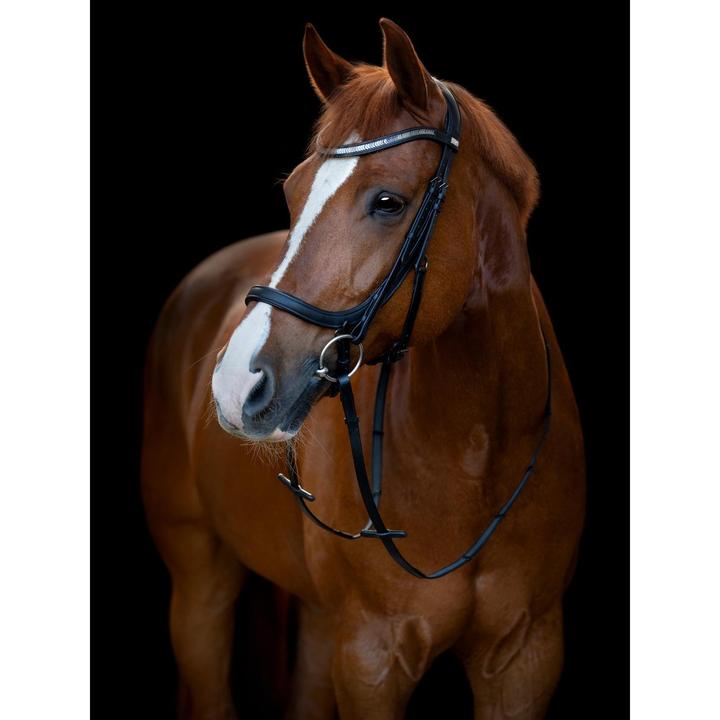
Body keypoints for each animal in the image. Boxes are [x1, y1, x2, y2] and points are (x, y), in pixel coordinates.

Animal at [141, 18, 585, 720]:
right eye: (293, 191)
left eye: (387, 201)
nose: (237, 384)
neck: (476, 456)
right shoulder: (372, 660)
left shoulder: (525, 658)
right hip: (200, 581)